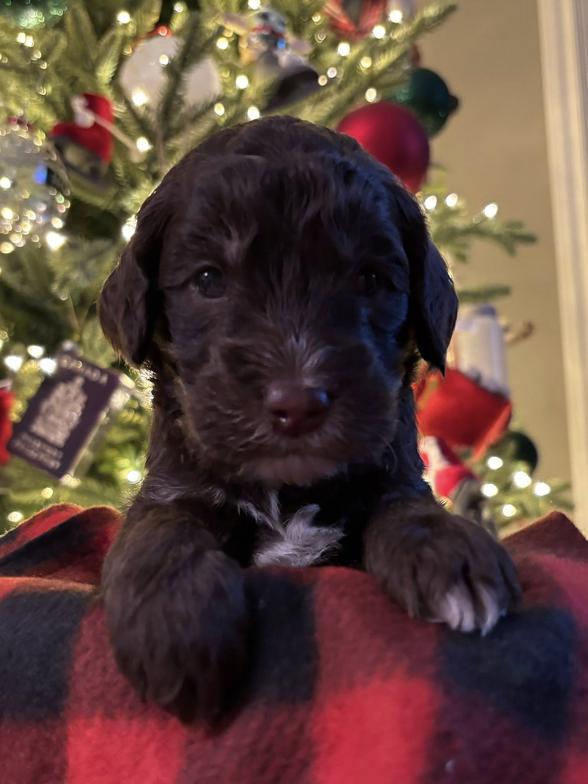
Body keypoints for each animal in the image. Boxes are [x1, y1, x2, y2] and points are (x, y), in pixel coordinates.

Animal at [99, 116, 520, 724]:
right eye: (208, 280)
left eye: (371, 280)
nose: (298, 403)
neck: (289, 490)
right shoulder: (171, 486)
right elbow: (161, 528)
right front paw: (174, 626)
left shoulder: (390, 475)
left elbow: (405, 507)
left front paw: (448, 550)